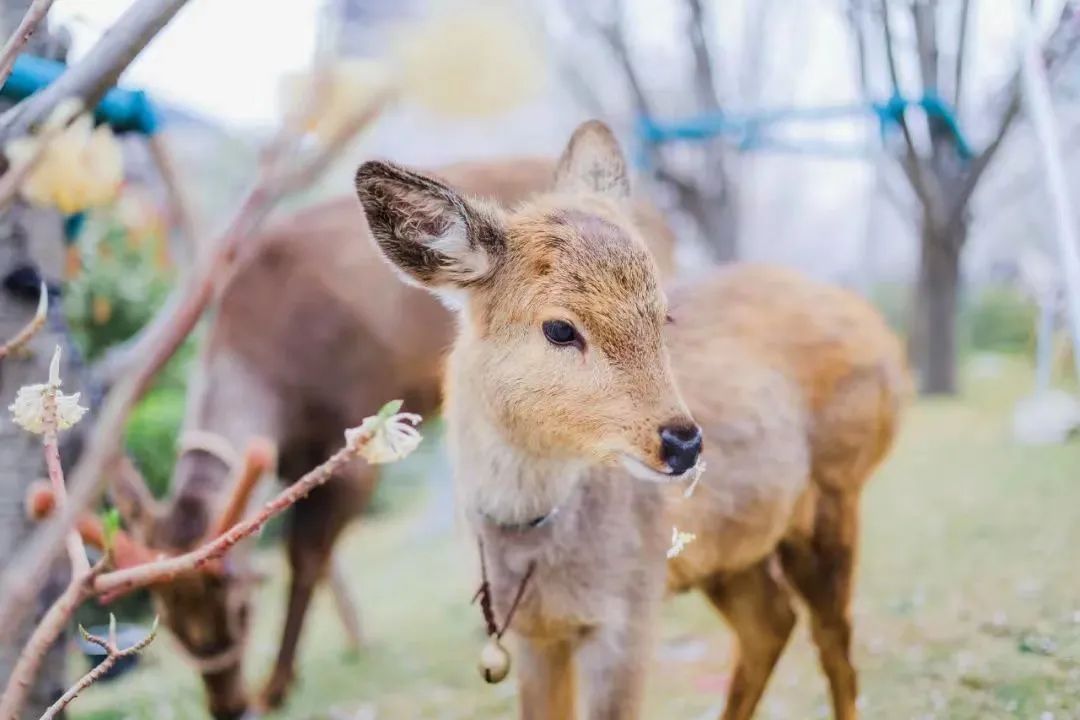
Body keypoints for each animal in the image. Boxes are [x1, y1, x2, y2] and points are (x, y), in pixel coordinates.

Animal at [38, 155, 678, 716]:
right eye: (169, 622)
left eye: (243, 609)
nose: (226, 705)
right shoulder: (296, 457)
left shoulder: (355, 432)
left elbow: (305, 555)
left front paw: (278, 685)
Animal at [356, 120, 911, 716]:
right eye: (559, 328)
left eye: (663, 315)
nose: (684, 443)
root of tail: (882, 332)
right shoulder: (532, 632)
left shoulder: (629, 610)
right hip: (733, 547)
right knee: (771, 622)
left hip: (837, 488)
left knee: (834, 642)